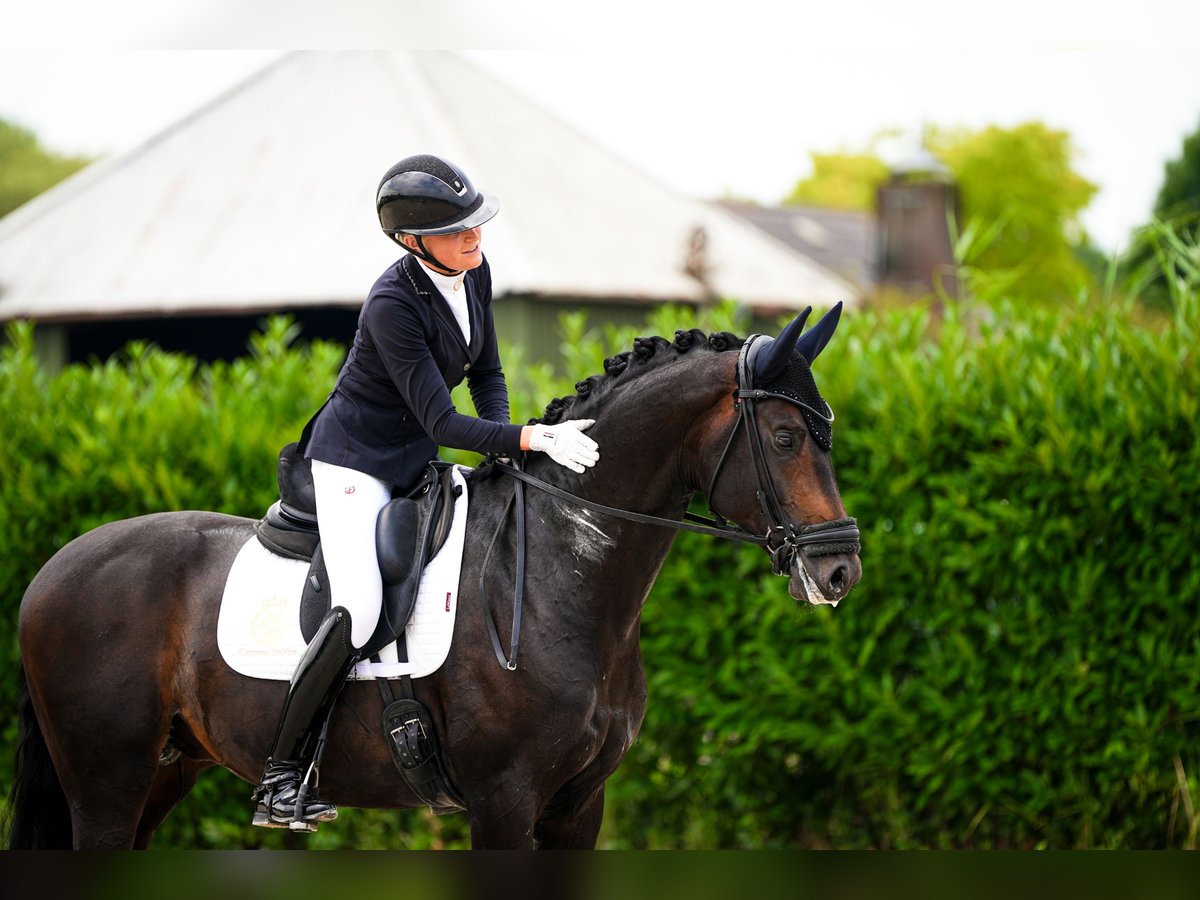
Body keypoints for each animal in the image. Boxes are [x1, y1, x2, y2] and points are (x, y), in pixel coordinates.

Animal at [4, 307, 859, 849]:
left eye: (825, 433)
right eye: (786, 437)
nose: (839, 568)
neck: (558, 575)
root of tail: (53, 568)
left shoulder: (579, 806)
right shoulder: (505, 800)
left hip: (166, 771)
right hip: (107, 781)